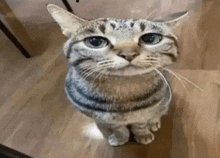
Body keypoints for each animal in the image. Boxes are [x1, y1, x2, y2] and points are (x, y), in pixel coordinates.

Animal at [46, 3, 187, 146]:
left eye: (150, 38)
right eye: (95, 41)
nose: (128, 53)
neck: (122, 91)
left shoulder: (145, 113)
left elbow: (140, 125)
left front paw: (143, 135)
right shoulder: (108, 119)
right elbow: (118, 129)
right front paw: (121, 138)